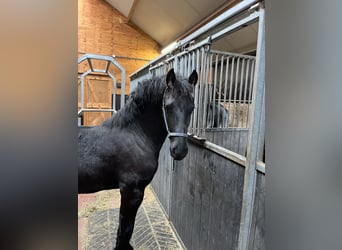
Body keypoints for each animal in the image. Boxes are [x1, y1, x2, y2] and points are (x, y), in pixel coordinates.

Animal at [78, 68, 198, 250]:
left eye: (192, 108)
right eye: (168, 106)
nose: (179, 150)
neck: (134, 135)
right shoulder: (131, 191)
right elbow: (126, 228)